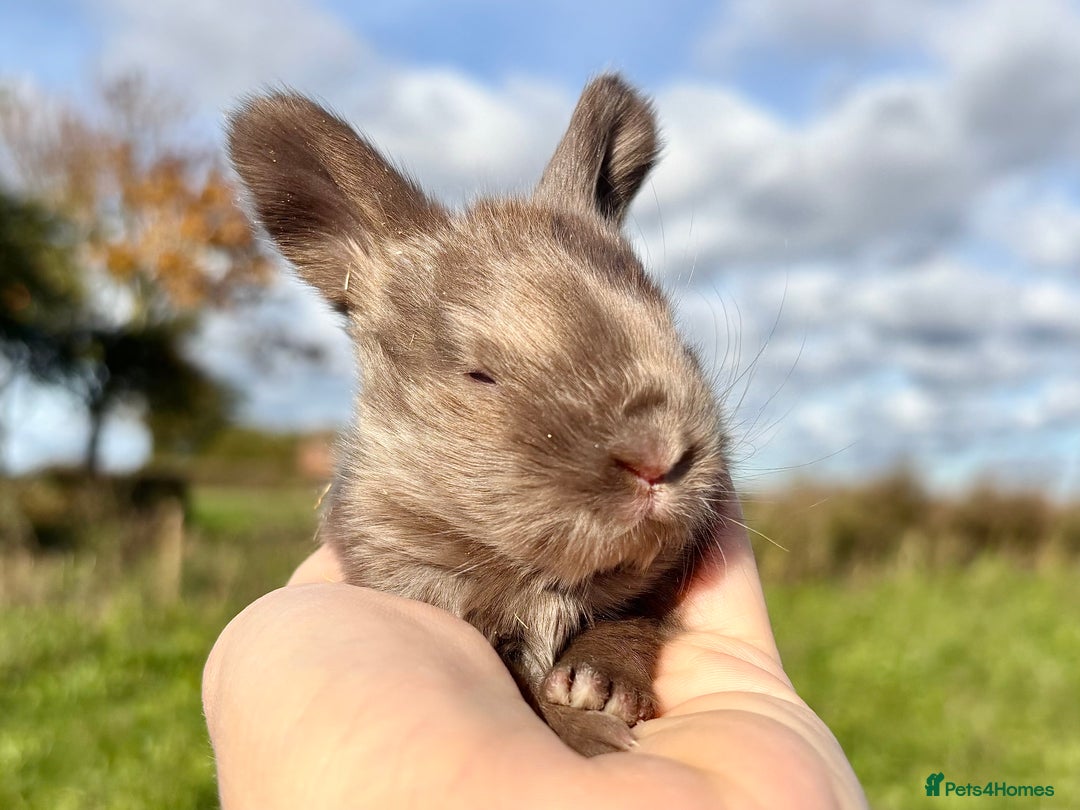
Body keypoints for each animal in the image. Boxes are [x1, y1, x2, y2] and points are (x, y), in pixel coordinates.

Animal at [226, 74, 734, 757]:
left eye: (679, 341)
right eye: (480, 374)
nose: (658, 457)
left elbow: (628, 622)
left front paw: (600, 685)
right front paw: (586, 727)